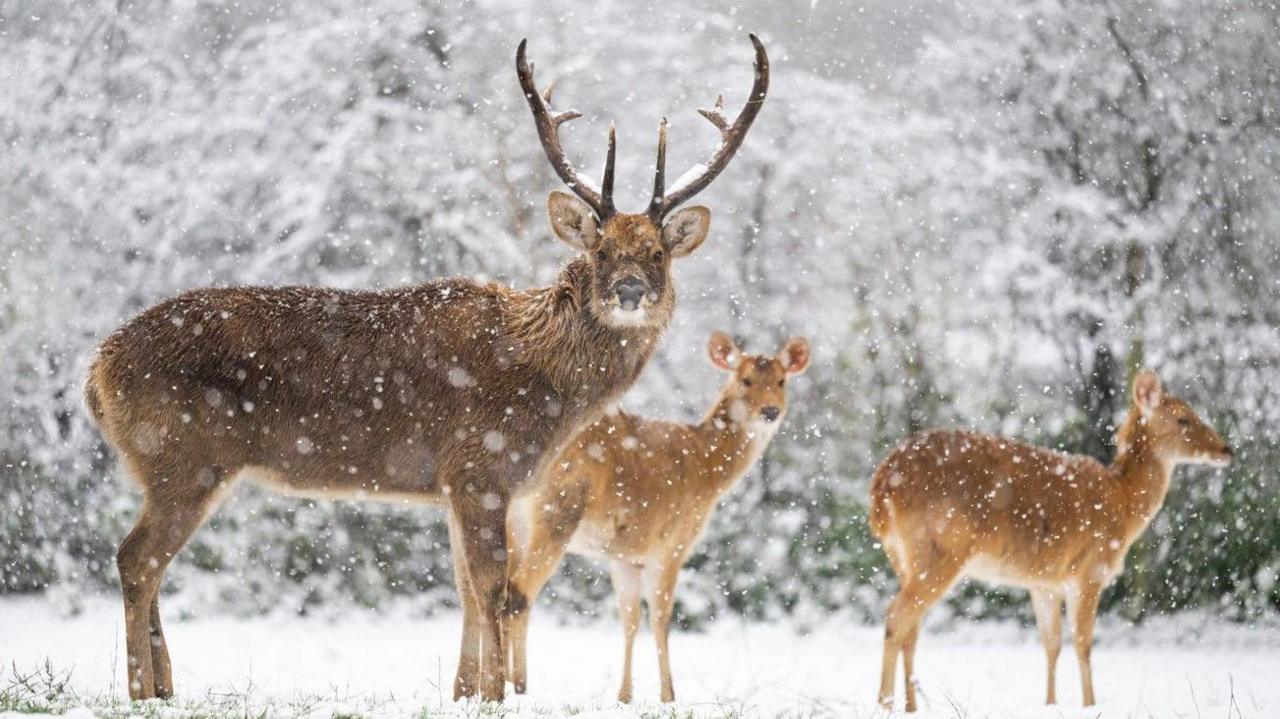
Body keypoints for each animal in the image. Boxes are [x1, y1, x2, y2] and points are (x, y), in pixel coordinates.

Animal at [87, 35, 768, 701]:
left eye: (656, 254)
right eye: (601, 250)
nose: (629, 291)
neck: (547, 388)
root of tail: (96, 372)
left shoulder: (455, 483)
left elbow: (465, 589)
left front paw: (463, 691)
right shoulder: (480, 464)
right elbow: (493, 586)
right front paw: (494, 695)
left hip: (176, 463)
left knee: (146, 561)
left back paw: (165, 686)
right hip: (183, 453)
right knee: (135, 558)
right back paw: (141, 690)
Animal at [501, 330, 808, 701]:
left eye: (781, 380)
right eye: (745, 379)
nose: (770, 411)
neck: (707, 471)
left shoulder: (625, 555)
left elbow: (629, 618)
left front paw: (624, 696)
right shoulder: (673, 543)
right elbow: (661, 619)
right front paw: (669, 696)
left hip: (513, 521)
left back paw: (506, 682)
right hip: (557, 508)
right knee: (519, 593)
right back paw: (512, 685)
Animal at [870, 368, 1228, 711]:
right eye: (1184, 418)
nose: (1227, 450)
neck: (1123, 504)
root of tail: (881, 488)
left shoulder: (1044, 581)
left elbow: (1051, 644)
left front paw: (1051, 703)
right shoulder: (1090, 569)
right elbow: (1083, 644)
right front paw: (1090, 704)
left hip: (901, 556)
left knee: (911, 629)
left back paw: (911, 706)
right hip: (939, 549)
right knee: (896, 617)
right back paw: (884, 704)